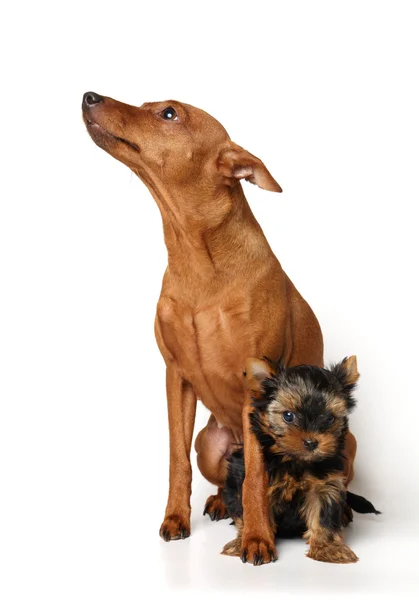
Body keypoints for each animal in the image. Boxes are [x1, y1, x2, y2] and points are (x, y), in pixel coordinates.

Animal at [82, 92, 358, 564]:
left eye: (169, 113)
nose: (89, 96)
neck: (197, 258)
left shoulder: (255, 385)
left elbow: (256, 478)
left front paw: (258, 538)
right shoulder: (175, 377)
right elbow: (176, 459)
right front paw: (177, 517)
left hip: (347, 443)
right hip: (210, 445)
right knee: (222, 474)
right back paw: (216, 502)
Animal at [223, 358, 380, 564]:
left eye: (330, 418)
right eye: (288, 416)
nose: (311, 442)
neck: (294, 460)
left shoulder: (325, 484)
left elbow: (323, 515)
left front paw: (328, 548)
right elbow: (250, 510)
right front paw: (244, 541)